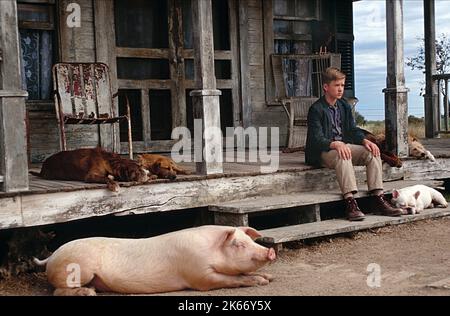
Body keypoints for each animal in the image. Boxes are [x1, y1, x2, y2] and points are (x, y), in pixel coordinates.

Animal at [34, 225, 274, 294]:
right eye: (238, 244)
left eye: (249, 240)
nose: (270, 251)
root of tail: (52, 256)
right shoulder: (199, 275)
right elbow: (230, 279)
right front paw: (262, 281)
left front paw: (268, 277)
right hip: (77, 268)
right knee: (58, 291)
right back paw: (89, 293)